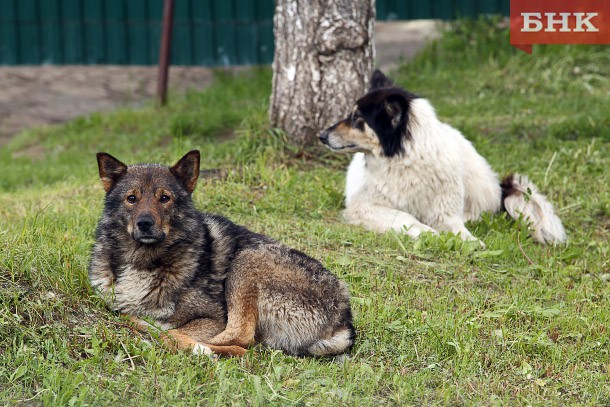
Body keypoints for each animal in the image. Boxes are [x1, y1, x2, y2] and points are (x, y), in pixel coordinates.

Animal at [318, 70, 564, 245]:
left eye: (356, 118)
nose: (321, 136)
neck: (405, 160)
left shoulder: (444, 212)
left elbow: (458, 229)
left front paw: (471, 242)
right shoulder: (365, 206)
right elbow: (407, 218)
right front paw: (428, 233)